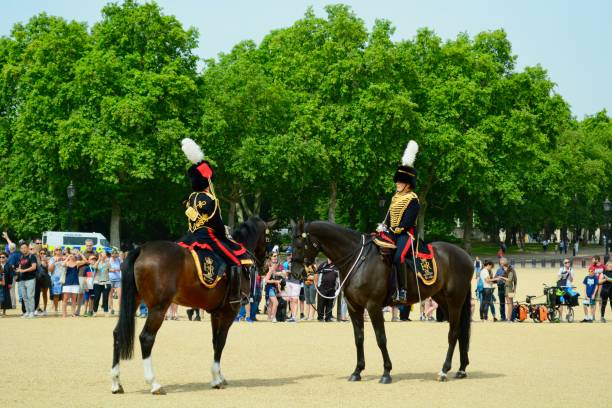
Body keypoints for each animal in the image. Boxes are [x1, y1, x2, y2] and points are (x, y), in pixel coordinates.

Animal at [290, 220, 474, 382]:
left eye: (300, 245)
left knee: (453, 333)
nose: (296, 273)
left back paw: (444, 370)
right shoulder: (353, 307)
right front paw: (357, 371)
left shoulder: (373, 306)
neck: (358, 259)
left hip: (455, 301)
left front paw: (386, 372)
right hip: (442, 299)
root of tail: (465, 256)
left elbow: (381, 338)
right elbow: (359, 338)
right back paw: (461, 369)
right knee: (460, 332)